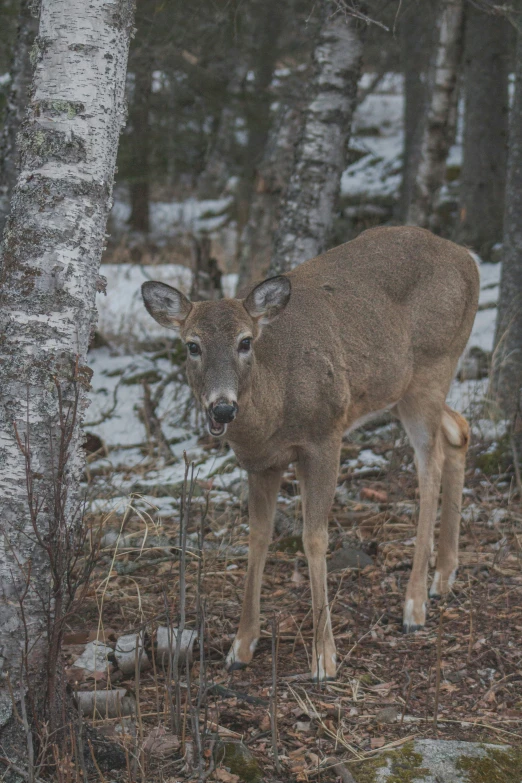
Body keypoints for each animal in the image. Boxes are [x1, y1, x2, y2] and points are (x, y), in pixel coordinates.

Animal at [140, 225, 478, 680]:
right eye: (192, 345)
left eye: (245, 341)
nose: (222, 408)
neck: (273, 408)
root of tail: (468, 257)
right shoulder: (260, 463)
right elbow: (258, 537)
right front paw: (241, 645)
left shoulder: (324, 438)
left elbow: (314, 537)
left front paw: (324, 657)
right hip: (401, 387)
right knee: (459, 429)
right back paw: (444, 576)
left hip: (432, 366)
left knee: (430, 467)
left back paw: (415, 604)